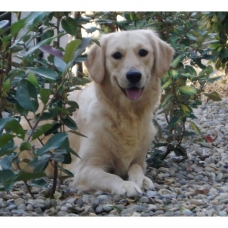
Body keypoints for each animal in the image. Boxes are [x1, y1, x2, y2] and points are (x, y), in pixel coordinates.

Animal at [17, 29, 174, 196]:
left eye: (143, 52)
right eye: (116, 55)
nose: (134, 75)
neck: (125, 115)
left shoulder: (140, 159)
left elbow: (136, 167)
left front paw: (141, 179)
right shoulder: (84, 169)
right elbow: (109, 176)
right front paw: (126, 185)